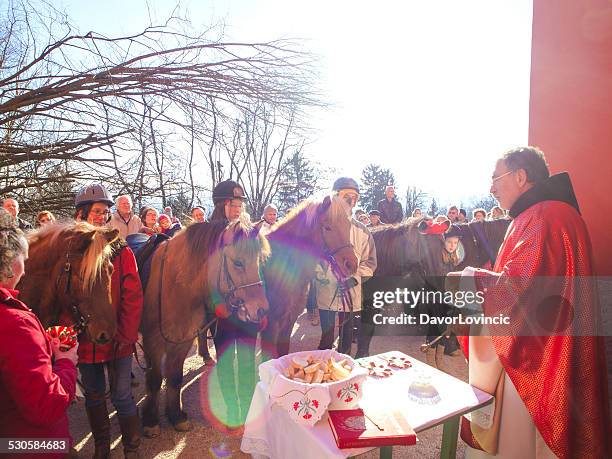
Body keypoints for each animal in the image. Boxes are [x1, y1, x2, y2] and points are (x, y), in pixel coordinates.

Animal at [143, 221, 270, 436]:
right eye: (237, 263)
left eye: (260, 261)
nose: (261, 310)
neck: (173, 285)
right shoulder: (154, 342)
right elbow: (155, 378)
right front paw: (151, 421)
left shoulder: (182, 340)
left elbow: (174, 376)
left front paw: (176, 416)